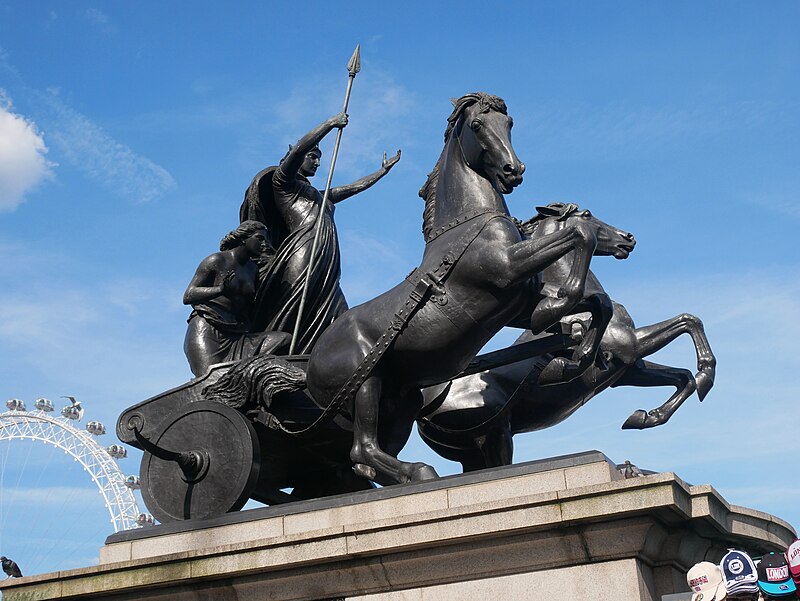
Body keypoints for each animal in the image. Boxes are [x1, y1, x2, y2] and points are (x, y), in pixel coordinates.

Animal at [306, 95, 612, 488]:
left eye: (509, 122)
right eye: (478, 126)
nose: (513, 170)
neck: (469, 224)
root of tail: (309, 365)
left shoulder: (518, 304)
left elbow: (597, 302)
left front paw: (584, 351)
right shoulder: (507, 268)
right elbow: (579, 237)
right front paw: (560, 323)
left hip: (401, 401)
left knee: (367, 458)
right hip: (366, 383)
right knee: (362, 450)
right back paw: (420, 471)